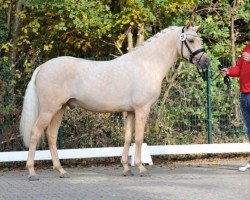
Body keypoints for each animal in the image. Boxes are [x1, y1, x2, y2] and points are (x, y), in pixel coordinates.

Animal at [20, 24, 210, 180]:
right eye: (191, 40)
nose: (206, 61)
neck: (146, 64)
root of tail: (42, 67)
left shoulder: (131, 112)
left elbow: (127, 137)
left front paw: (126, 168)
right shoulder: (142, 110)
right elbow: (139, 138)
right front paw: (141, 168)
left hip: (59, 109)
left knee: (51, 136)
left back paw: (61, 171)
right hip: (49, 109)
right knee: (35, 132)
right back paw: (32, 172)